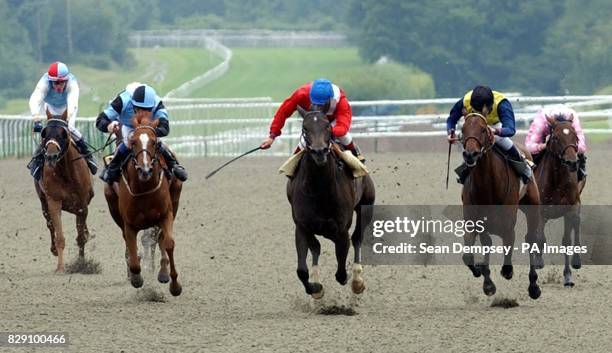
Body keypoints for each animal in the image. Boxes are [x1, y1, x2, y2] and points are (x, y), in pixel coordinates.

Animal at [34, 108, 94, 270]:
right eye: (44, 133)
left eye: (63, 133)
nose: (51, 155)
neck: (66, 173)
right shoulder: (54, 201)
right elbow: (59, 236)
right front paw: (60, 267)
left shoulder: (82, 204)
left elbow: (81, 237)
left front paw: (82, 263)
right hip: (43, 202)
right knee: (50, 226)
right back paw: (54, 249)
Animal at [103, 111, 183, 296]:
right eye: (133, 142)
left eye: (154, 142)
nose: (144, 170)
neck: (144, 188)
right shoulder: (129, 224)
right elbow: (133, 255)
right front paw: (136, 278)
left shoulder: (165, 215)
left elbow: (168, 243)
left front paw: (174, 284)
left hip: (174, 201)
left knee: (158, 240)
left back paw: (162, 272)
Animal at [286, 105, 376, 296]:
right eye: (305, 128)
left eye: (327, 126)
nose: (319, 151)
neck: (319, 190)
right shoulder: (302, 227)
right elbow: (302, 270)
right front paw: (315, 287)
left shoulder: (341, 230)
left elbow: (341, 272)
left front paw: (351, 280)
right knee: (316, 247)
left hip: (366, 207)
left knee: (357, 238)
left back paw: (357, 280)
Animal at [462, 111, 544, 298]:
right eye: (462, 129)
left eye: (483, 129)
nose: (470, 155)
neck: (488, 187)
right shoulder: (473, 221)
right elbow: (471, 254)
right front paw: (485, 280)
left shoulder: (507, 223)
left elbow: (507, 251)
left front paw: (505, 272)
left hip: (533, 206)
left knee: (531, 239)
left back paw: (534, 286)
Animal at [532, 115, 584, 286]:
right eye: (555, 137)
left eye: (575, 137)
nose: (572, 162)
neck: (556, 181)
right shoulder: (541, 211)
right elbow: (539, 238)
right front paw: (538, 261)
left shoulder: (571, 208)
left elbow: (566, 241)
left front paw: (569, 274)